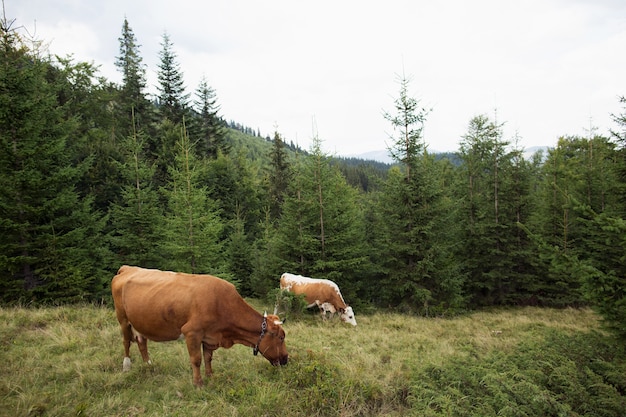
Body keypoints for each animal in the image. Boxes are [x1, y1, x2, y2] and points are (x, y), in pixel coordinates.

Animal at [112, 264, 288, 386]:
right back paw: (126, 366)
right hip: (123, 319)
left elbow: (208, 358)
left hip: (139, 321)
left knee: (142, 342)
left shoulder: (210, 337)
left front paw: (210, 376)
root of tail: (127, 268)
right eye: (281, 337)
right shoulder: (192, 332)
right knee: (126, 342)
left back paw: (148, 365)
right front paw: (198, 383)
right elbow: (196, 359)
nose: (286, 359)